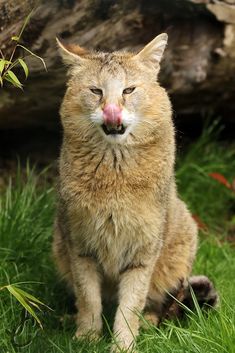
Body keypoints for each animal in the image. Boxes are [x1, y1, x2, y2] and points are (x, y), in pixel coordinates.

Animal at [53, 33, 218, 352]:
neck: (114, 174)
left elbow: (130, 305)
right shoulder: (79, 246)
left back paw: (150, 323)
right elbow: (88, 298)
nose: (112, 111)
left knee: (163, 304)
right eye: (96, 91)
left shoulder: (143, 253)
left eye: (128, 90)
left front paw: (123, 344)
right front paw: (87, 337)